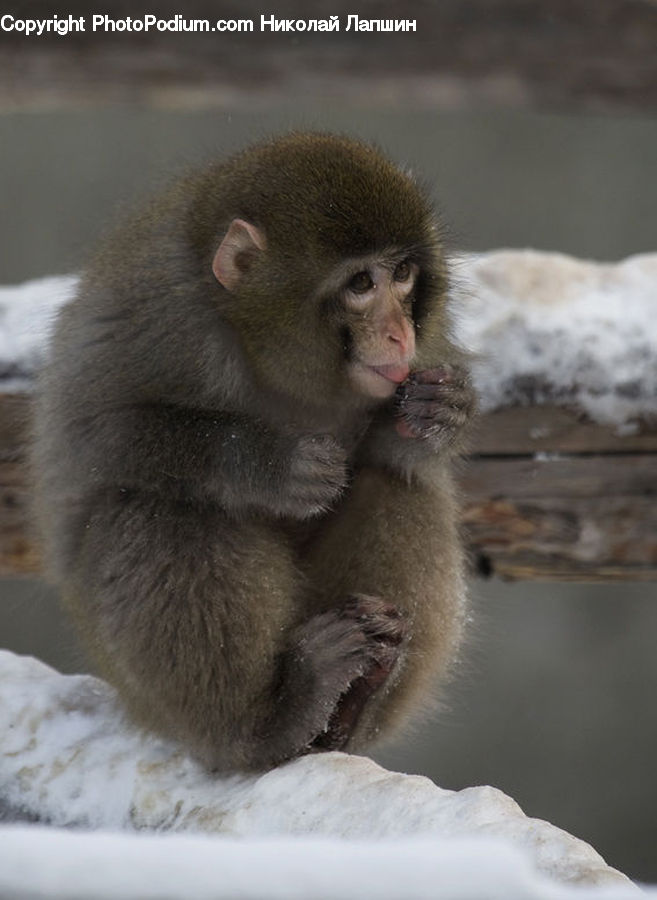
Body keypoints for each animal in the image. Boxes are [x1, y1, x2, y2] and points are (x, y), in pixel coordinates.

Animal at [32, 132, 475, 772]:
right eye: (360, 284)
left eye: (402, 273)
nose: (399, 334)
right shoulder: (162, 316)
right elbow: (87, 439)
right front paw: (269, 464)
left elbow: (406, 446)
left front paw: (445, 412)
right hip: (134, 684)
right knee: (166, 506)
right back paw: (274, 719)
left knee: (396, 481)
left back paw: (355, 703)